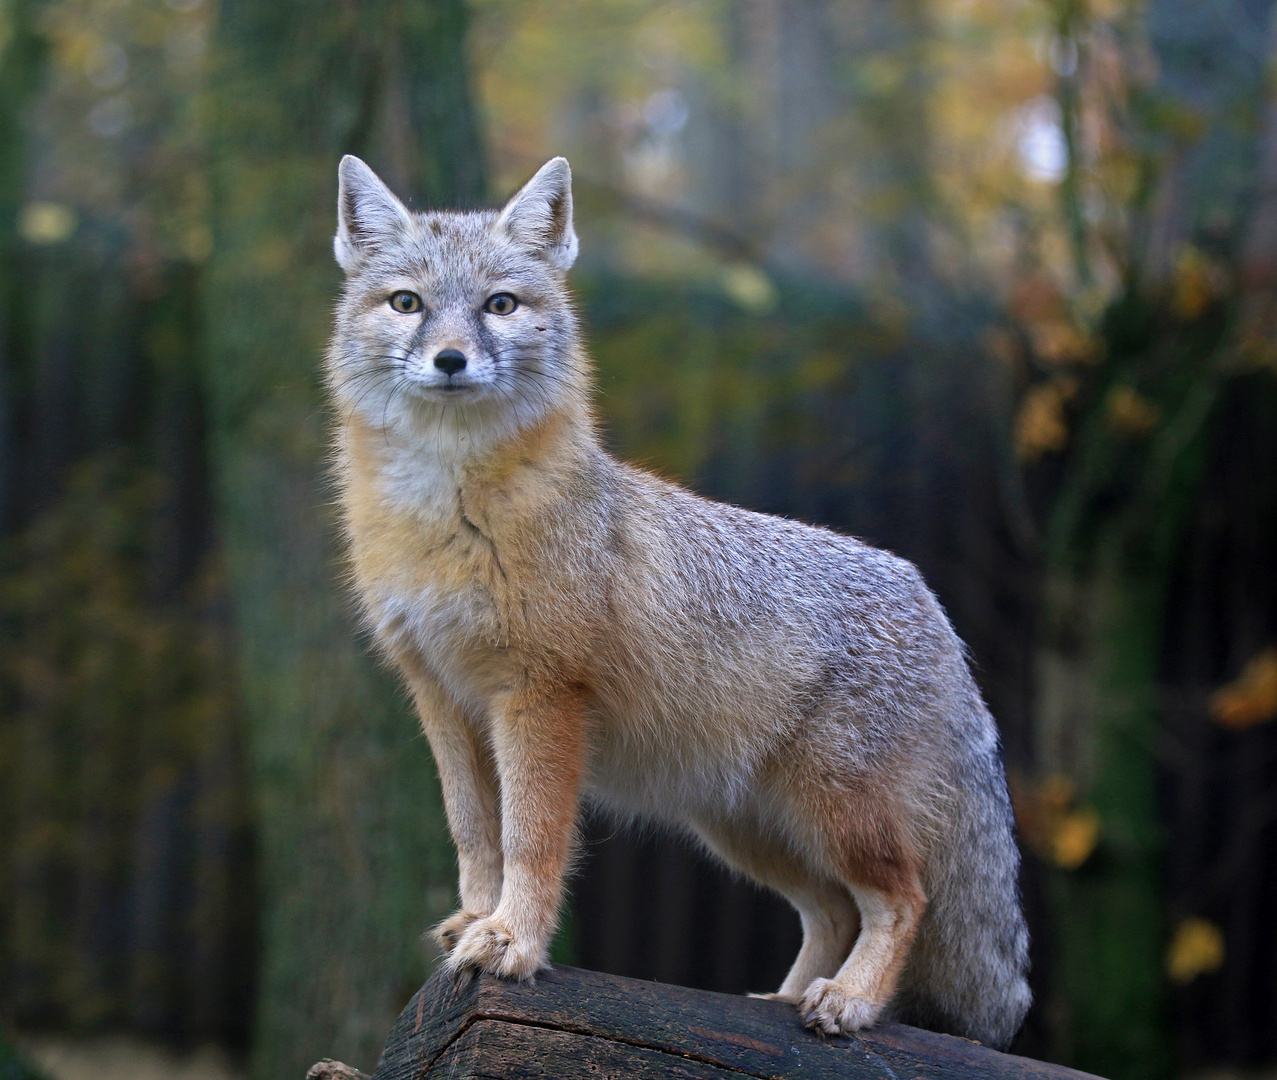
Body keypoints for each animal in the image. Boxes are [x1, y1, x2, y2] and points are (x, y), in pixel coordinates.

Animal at [324, 151, 1031, 1046]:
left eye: (500, 306)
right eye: (407, 303)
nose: (450, 358)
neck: (446, 517)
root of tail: (933, 605)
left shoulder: (539, 695)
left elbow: (530, 837)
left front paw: (514, 940)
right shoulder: (441, 697)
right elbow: (474, 833)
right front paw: (477, 921)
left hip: (833, 815)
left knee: (903, 898)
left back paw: (851, 1000)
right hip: (752, 833)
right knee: (833, 912)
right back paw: (783, 1001)